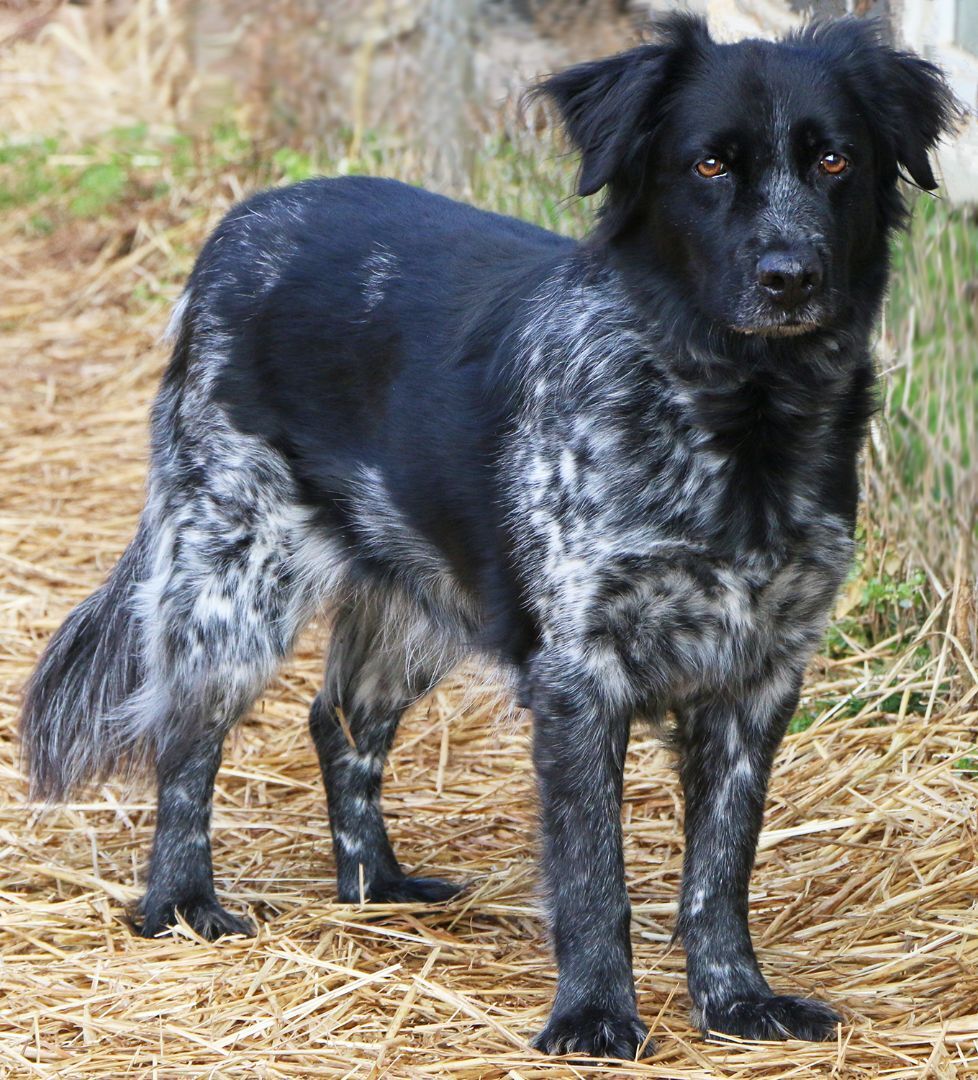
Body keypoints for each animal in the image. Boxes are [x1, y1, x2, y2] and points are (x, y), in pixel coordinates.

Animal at [22, 14, 954, 1062]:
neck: (739, 417)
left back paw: (375, 887)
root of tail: (240, 224)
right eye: (709, 164)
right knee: (185, 742)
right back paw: (180, 906)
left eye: (835, 159)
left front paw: (735, 1001)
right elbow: (592, 875)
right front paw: (593, 1014)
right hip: (233, 579)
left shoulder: (758, 676)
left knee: (338, 721)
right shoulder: (580, 675)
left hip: (418, 604)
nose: (789, 276)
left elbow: (720, 873)